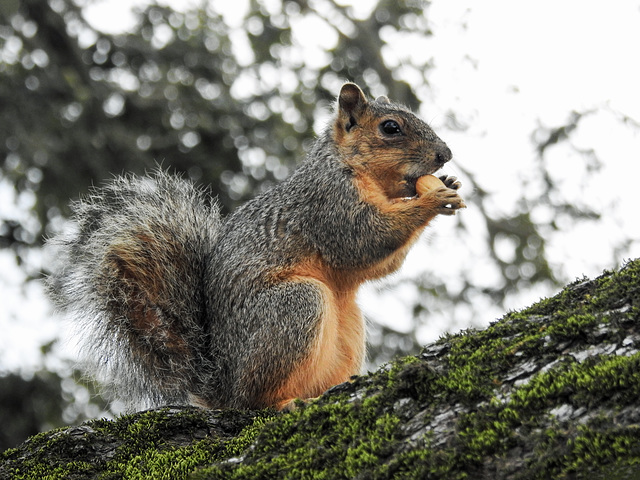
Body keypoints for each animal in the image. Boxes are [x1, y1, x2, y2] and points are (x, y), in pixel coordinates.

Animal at [46, 81, 464, 408]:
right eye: (390, 128)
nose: (445, 154)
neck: (353, 168)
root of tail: (223, 388)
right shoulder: (328, 203)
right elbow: (366, 238)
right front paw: (431, 198)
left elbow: (381, 262)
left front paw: (448, 183)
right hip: (293, 307)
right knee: (254, 401)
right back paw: (281, 402)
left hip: (348, 328)